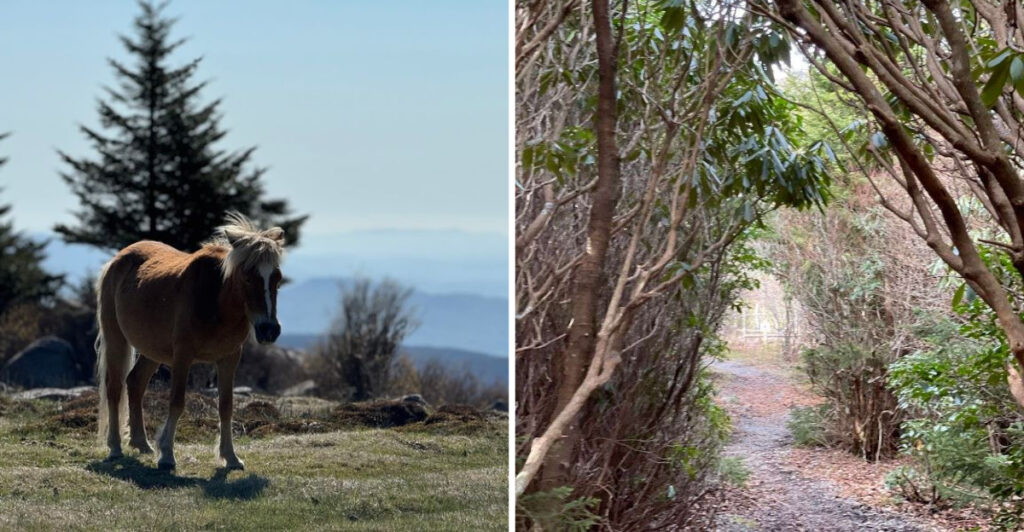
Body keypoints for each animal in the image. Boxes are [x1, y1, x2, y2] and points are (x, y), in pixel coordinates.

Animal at [94, 212, 285, 471]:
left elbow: (226, 406)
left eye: (277, 277)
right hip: (116, 338)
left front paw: (230, 456)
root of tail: (116, 260)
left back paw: (141, 443)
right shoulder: (182, 356)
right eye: (247, 277)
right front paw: (166, 455)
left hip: (153, 350)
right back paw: (115, 447)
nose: (269, 330)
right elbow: (177, 402)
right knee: (114, 388)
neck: (216, 301)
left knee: (135, 383)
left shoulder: (229, 358)